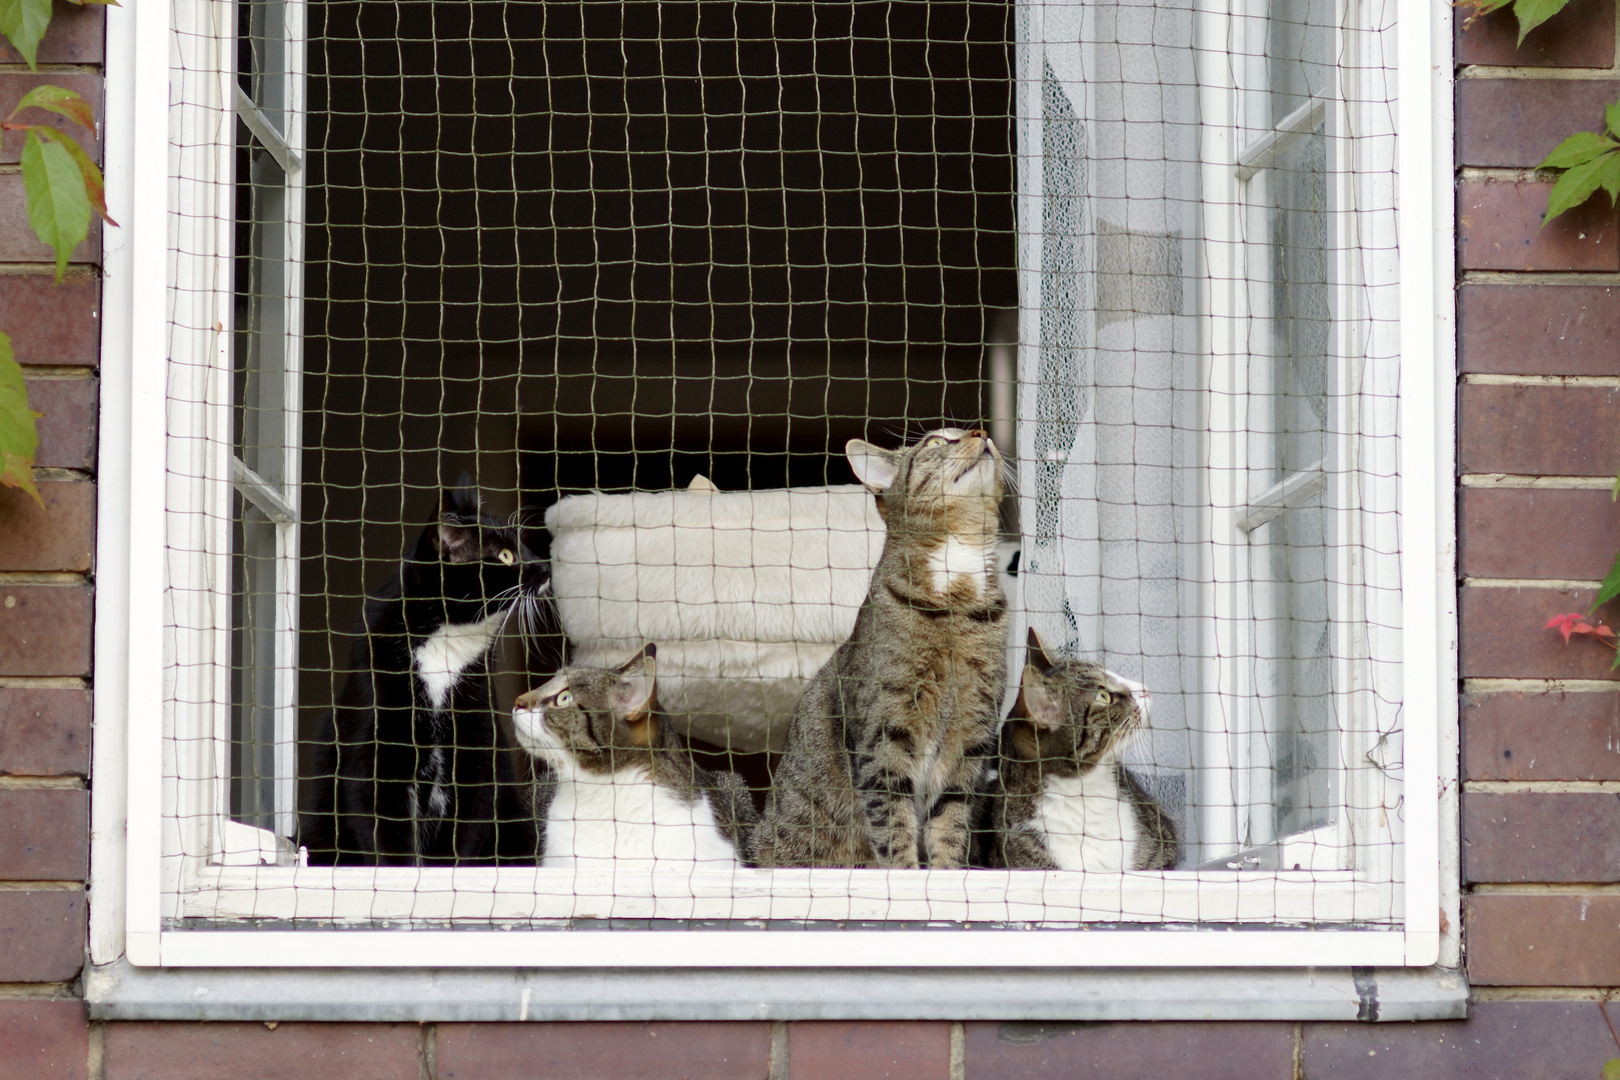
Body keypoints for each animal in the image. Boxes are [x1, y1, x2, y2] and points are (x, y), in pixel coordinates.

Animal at [302, 482, 550, 867]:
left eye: (522, 545)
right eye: (506, 555)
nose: (545, 565)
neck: (446, 644)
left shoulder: (476, 741)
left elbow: (466, 824)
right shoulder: (378, 744)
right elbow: (383, 822)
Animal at [748, 427, 1004, 867]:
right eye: (937, 442)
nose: (981, 431)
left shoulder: (972, 736)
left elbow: (951, 823)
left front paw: (948, 873)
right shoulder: (885, 736)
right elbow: (893, 821)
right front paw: (906, 874)